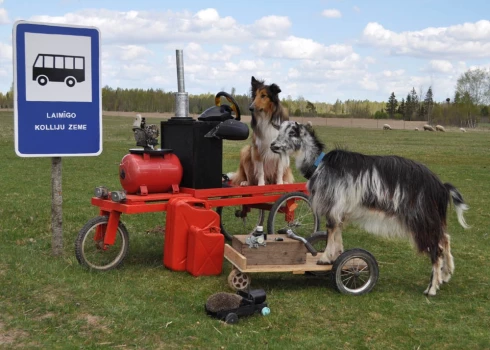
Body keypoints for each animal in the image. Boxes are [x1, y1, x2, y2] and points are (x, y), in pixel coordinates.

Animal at [270, 121, 468, 296]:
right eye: (279, 130)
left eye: (292, 132)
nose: (273, 145)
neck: (319, 165)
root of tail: (441, 187)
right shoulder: (341, 211)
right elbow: (337, 233)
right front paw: (337, 255)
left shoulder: (334, 206)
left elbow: (331, 230)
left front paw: (325, 258)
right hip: (432, 219)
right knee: (445, 239)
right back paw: (446, 274)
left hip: (421, 220)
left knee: (437, 250)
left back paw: (432, 289)